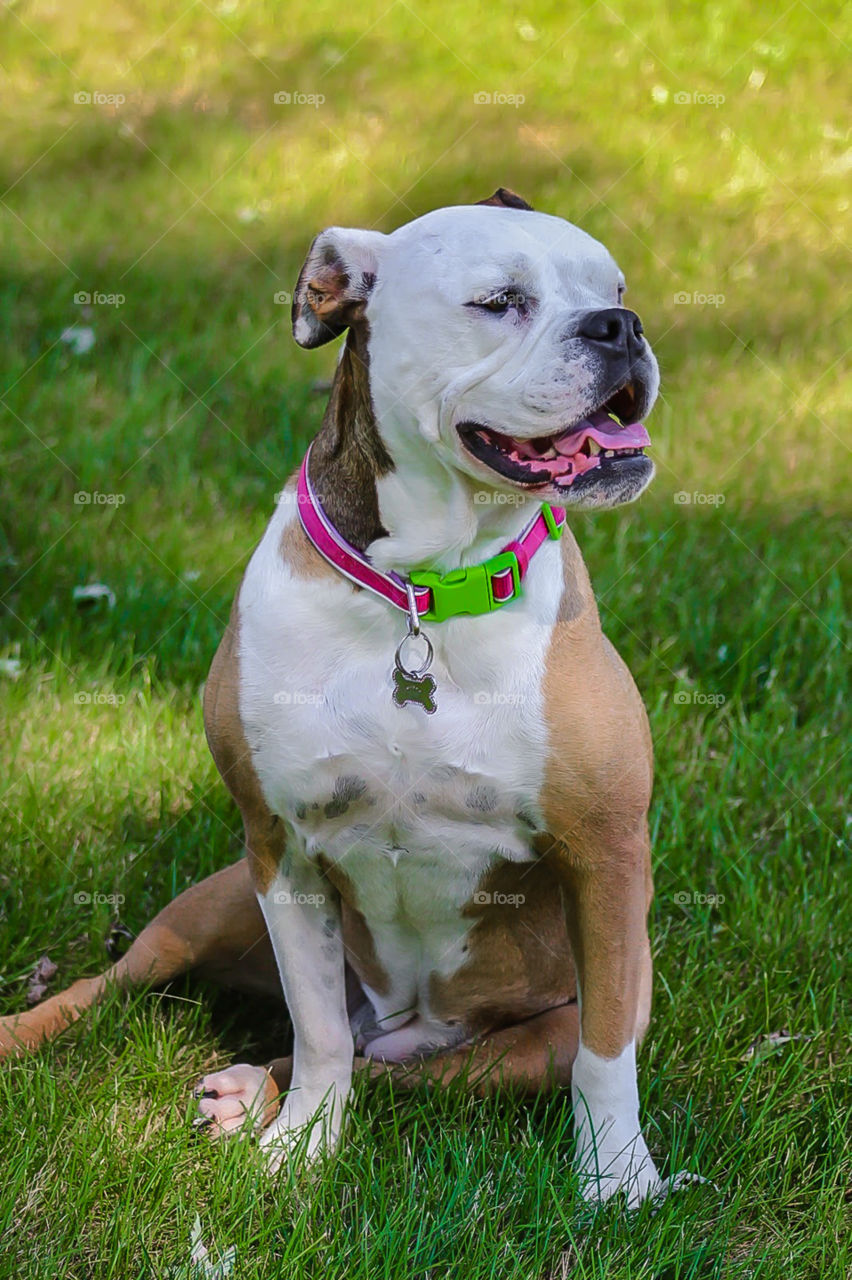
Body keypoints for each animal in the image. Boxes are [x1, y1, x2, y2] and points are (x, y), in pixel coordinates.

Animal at [3, 185, 675, 1203]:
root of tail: (413, 1020)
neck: (423, 588)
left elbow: (605, 1057)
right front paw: (305, 1145)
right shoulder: (281, 846)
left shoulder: (605, 856)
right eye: (500, 302)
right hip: (214, 901)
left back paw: (251, 1089)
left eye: (617, 289)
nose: (620, 327)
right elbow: (317, 1026)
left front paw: (618, 1181)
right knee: (131, 985)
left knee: (425, 1071)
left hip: (522, 1039)